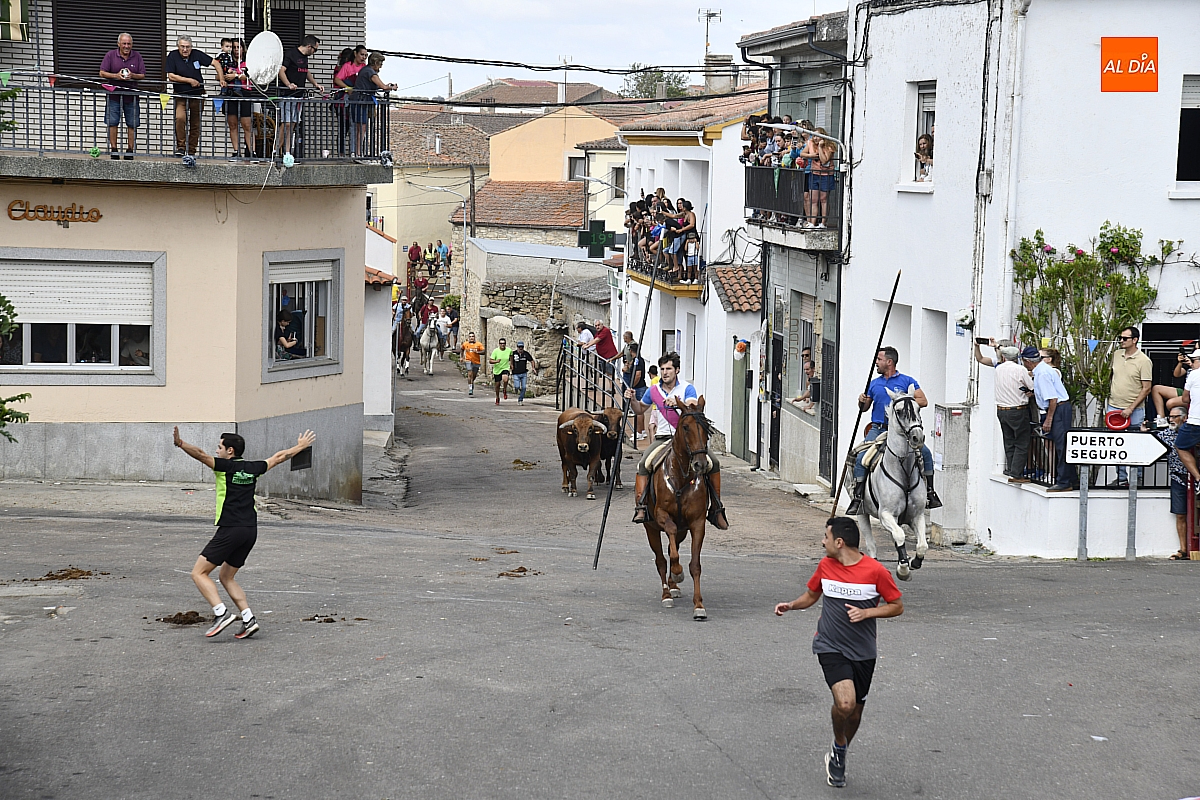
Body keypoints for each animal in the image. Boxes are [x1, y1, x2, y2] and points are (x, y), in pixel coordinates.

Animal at [640, 397, 713, 621]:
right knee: (661, 560)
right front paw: (678, 572)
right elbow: (671, 555)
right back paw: (667, 593)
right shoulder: (662, 517)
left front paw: (699, 605)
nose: (700, 464)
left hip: (682, 531)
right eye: (686, 427)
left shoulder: (697, 523)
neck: (681, 477)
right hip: (651, 529)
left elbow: (695, 566)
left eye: (706, 428)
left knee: (673, 548)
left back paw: (672, 586)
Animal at [853, 387, 929, 581]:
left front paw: (914, 562)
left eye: (918, 409)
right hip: (862, 513)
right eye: (900, 411)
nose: (917, 437)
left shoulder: (917, 515)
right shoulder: (885, 514)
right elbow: (899, 536)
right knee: (871, 545)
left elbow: (922, 545)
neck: (904, 470)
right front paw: (903, 569)